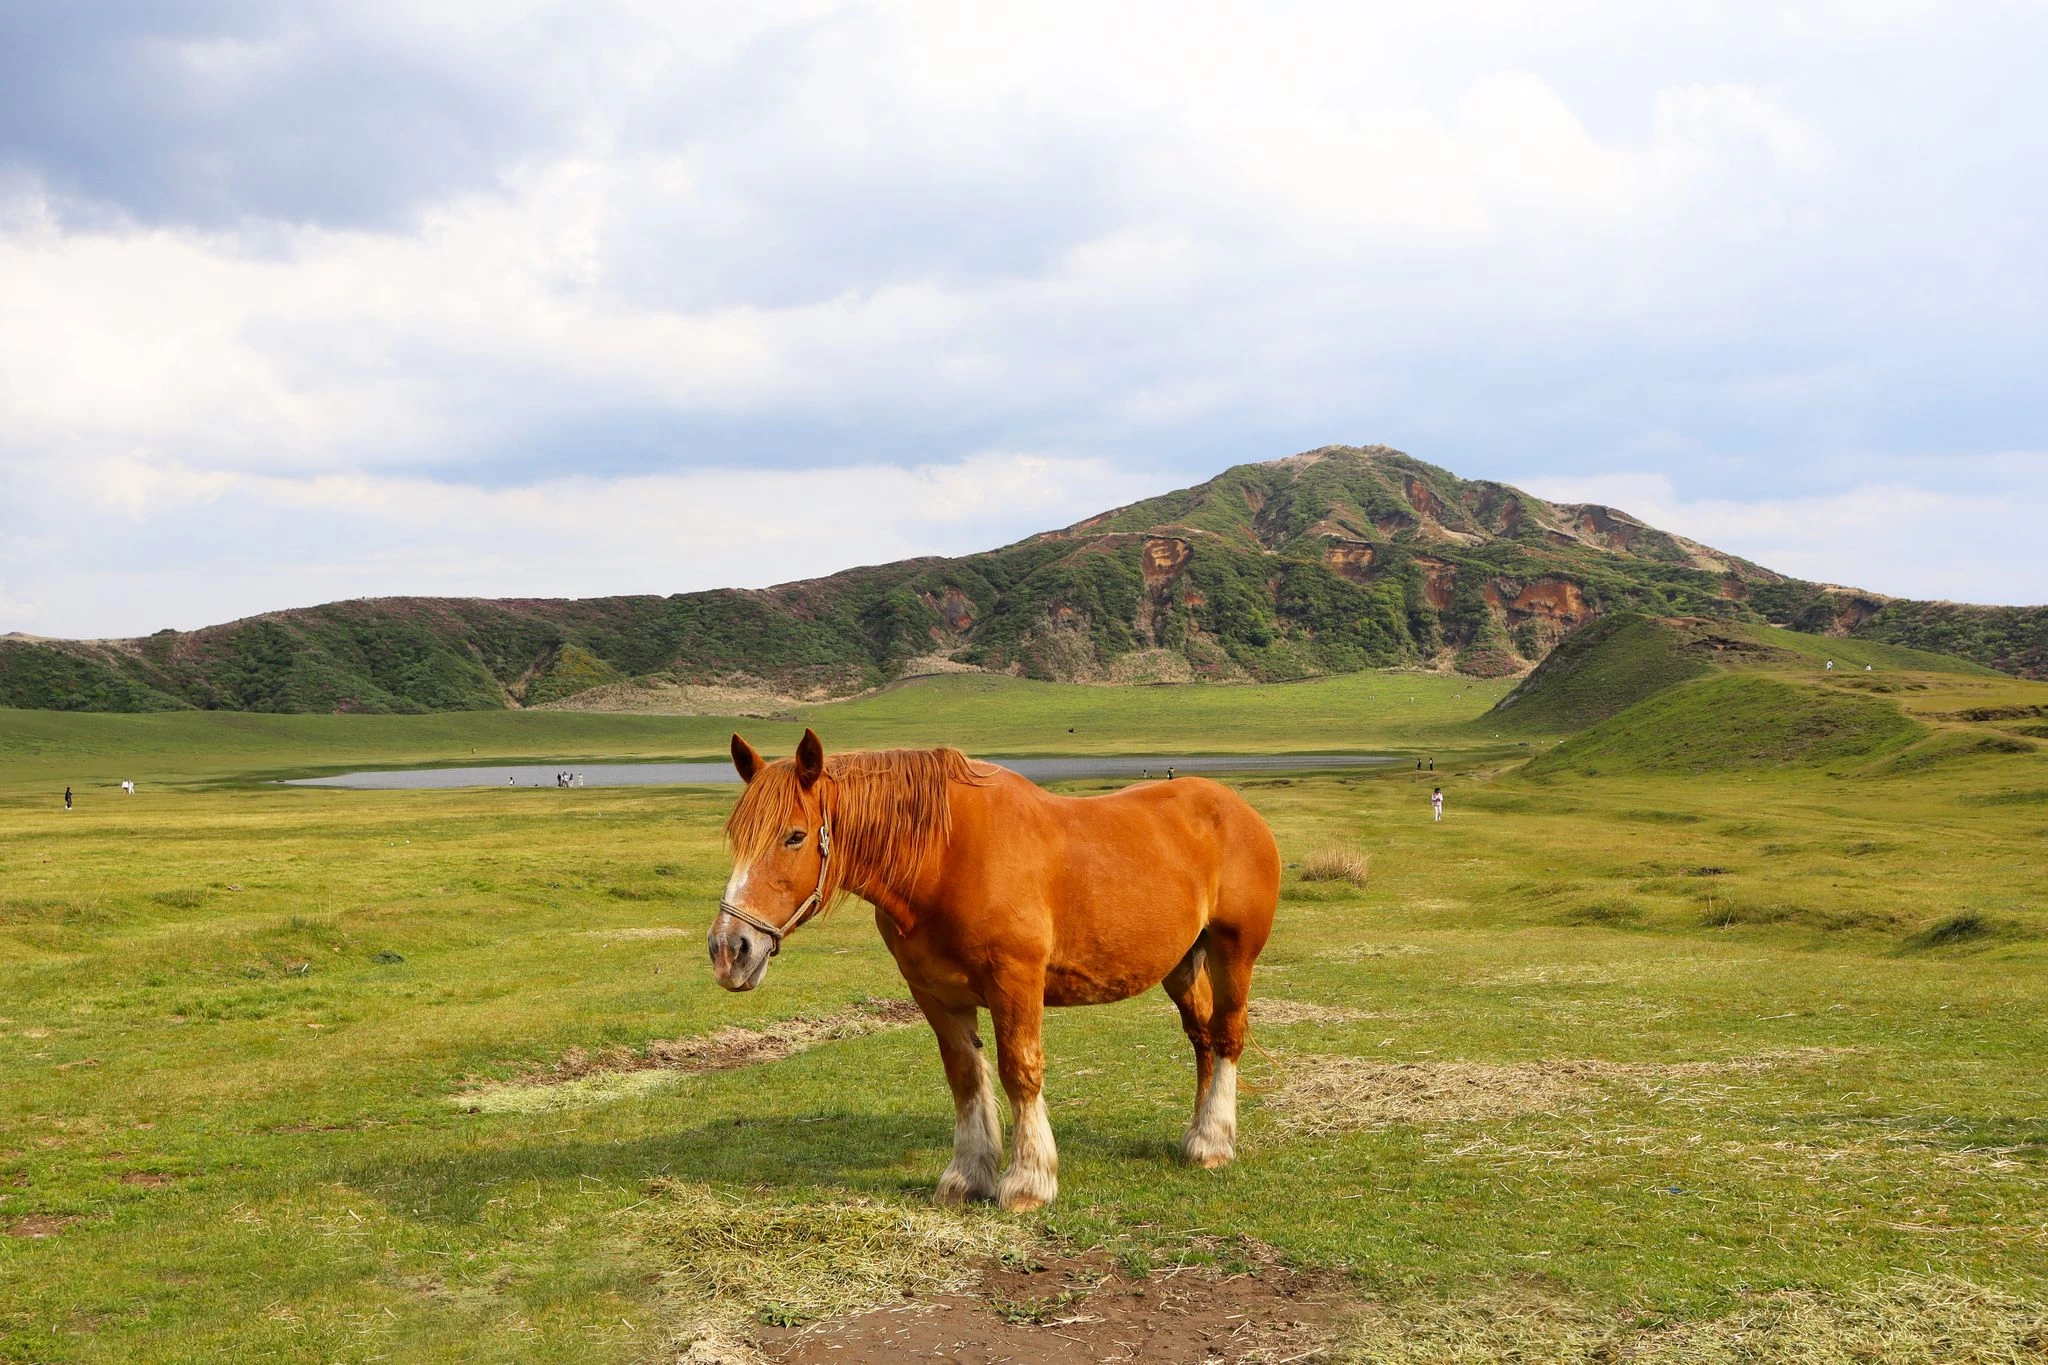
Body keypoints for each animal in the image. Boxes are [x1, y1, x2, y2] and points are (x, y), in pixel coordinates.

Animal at [706, 728, 1281, 1212]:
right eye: (737, 837)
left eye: (795, 836)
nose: (729, 949)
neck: (943, 859)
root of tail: (1238, 809)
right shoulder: (935, 994)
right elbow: (965, 1077)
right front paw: (967, 1176)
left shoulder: (1015, 982)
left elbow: (1019, 1072)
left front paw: (1028, 1182)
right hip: (1182, 964)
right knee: (1202, 1037)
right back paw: (1200, 1135)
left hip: (1233, 954)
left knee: (1227, 1035)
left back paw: (1213, 1142)